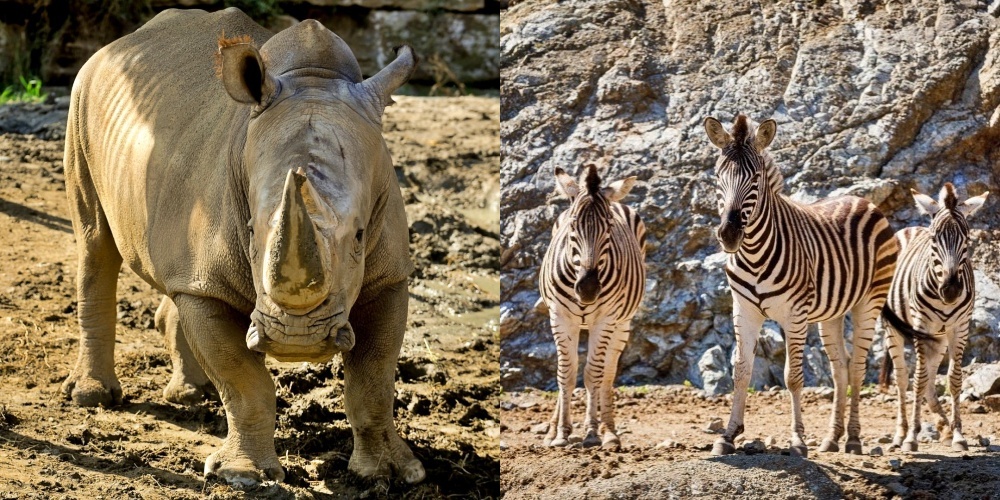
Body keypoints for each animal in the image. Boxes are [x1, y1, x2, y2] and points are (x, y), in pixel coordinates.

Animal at [61, 5, 422, 486]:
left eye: (361, 235)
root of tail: (119, 44)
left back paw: (190, 395)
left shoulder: (390, 277)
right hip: (81, 100)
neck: (314, 79)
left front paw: (391, 473)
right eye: (250, 231)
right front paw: (243, 476)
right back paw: (92, 398)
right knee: (95, 242)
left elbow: (374, 380)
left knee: (169, 272)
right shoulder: (206, 289)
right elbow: (244, 380)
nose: (297, 341)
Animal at [540, 164, 648, 450]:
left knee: (608, 373)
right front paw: (561, 432)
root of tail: (617, 200)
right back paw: (551, 429)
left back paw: (609, 431)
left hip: (622, 324)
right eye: (573, 225)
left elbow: (593, 374)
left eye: (608, 226)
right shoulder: (559, 317)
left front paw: (591, 432)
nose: (588, 288)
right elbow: (565, 373)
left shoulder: (606, 319)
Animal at [704, 114, 900, 458]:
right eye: (718, 176)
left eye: (755, 178)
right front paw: (728, 435)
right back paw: (833, 438)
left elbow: (793, 377)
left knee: (858, 367)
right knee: (840, 369)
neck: (753, 253)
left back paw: (853, 439)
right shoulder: (743, 311)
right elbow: (741, 371)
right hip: (832, 313)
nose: (728, 234)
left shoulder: (794, 315)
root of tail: (861, 199)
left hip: (869, 301)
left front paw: (797, 440)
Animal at [880, 184, 988, 454]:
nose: (951, 290)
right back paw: (901, 433)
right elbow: (917, 379)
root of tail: (909, 228)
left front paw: (958, 434)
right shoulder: (922, 323)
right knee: (902, 377)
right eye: (933, 239)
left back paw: (945, 428)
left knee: (929, 375)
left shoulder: (960, 327)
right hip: (893, 329)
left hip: (938, 337)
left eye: (967, 239)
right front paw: (911, 438)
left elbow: (954, 379)